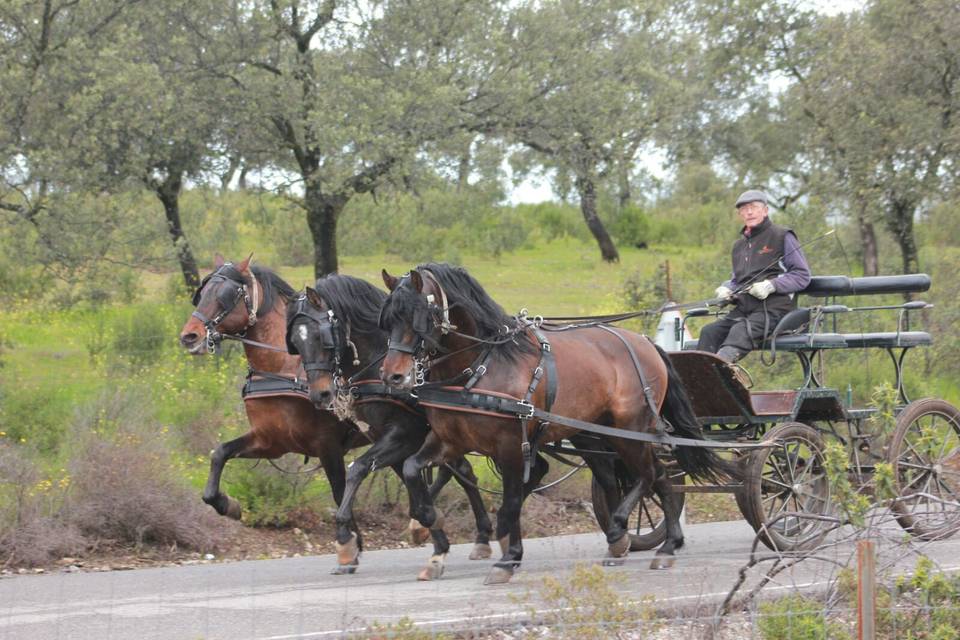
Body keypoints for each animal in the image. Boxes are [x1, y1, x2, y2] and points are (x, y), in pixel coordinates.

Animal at [175, 255, 364, 556]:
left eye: (225, 295)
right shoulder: (271, 442)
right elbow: (219, 454)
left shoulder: (328, 446)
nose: (189, 336)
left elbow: (340, 493)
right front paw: (228, 505)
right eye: (201, 294)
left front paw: (351, 543)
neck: (281, 370)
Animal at [378, 262, 740, 584]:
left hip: (631, 430)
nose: (392, 376)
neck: (482, 365)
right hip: (596, 433)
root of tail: (646, 343)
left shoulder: (511, 446)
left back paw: (640, 536)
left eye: (418, 318)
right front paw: (429, 528)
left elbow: (511, 501)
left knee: (651, 474)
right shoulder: (449, 441)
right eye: (389, 319)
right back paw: (653, 543)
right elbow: (412, 469)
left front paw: (508, 559)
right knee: (647, 477)